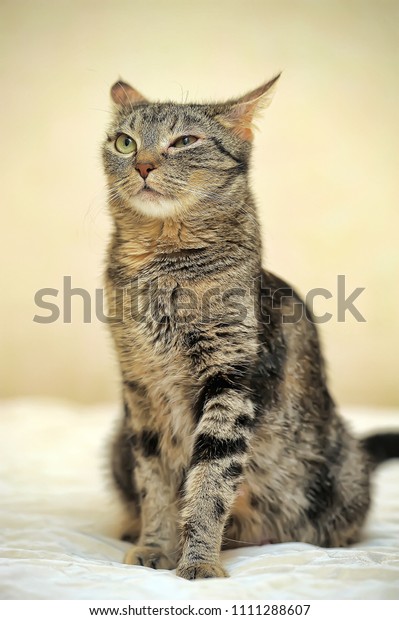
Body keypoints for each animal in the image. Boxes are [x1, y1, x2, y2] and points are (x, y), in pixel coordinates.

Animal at [103, 75, 399, 580]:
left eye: (185, 141)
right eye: (125, 142)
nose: (142, 165)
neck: (159, 267)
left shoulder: (230, 381)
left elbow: (210, 480)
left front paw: (198, 561)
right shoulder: (140, 389)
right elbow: (155, 481)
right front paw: (155, 545)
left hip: (339, 472)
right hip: (116, 443)